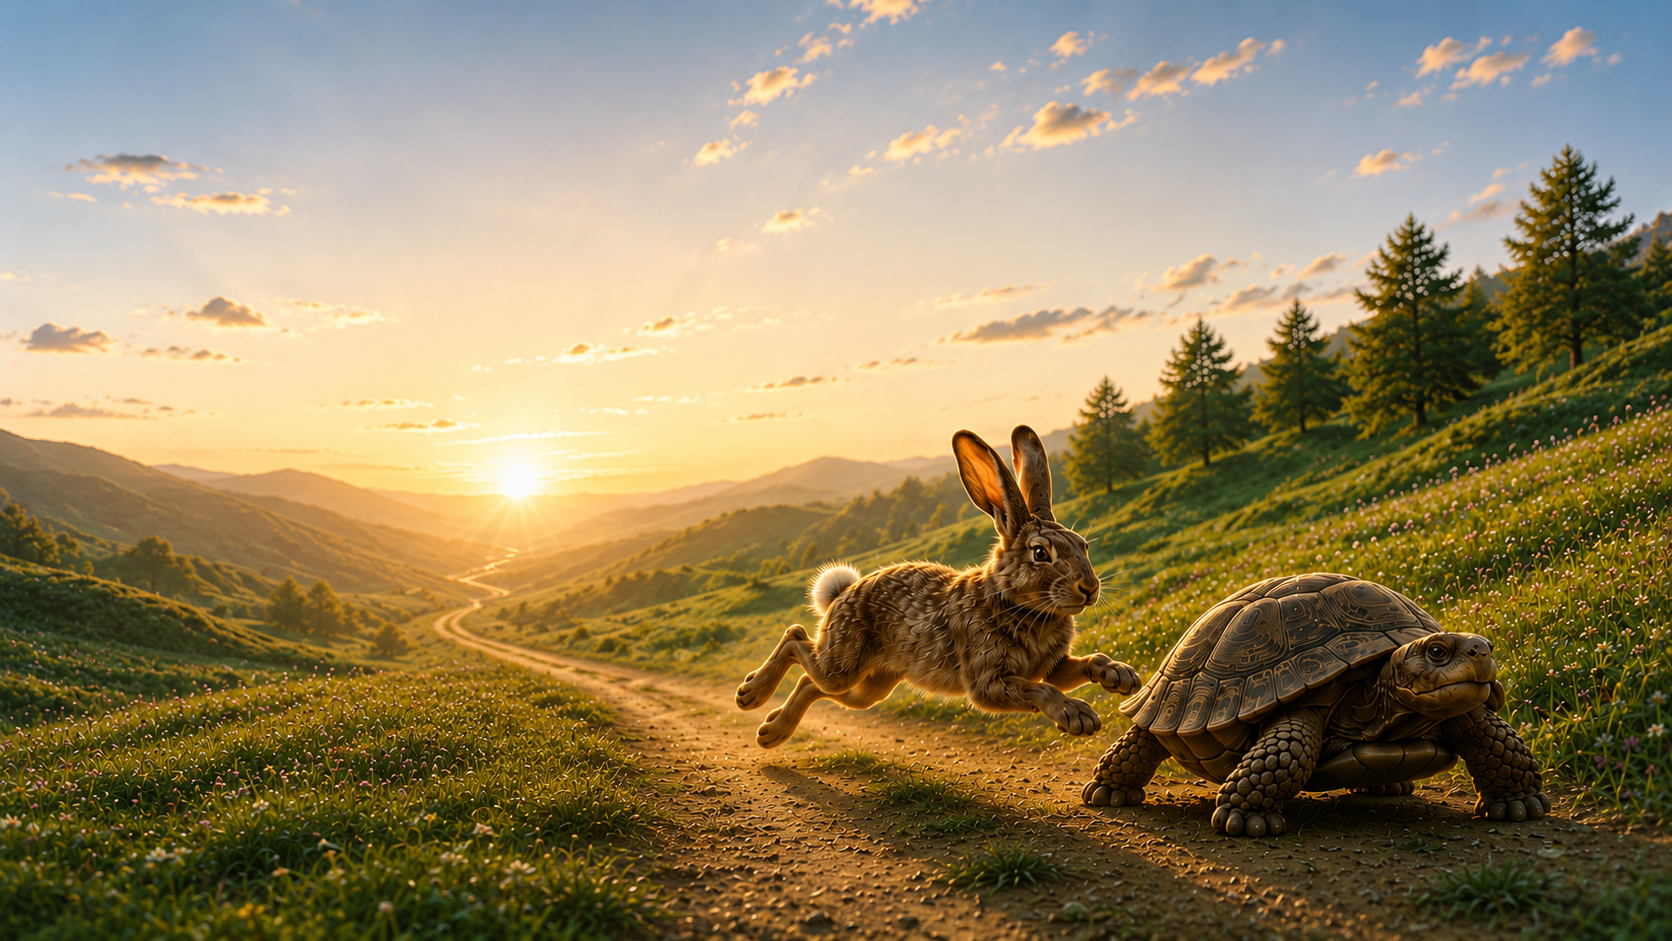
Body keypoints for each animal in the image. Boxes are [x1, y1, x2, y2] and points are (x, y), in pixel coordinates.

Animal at [735, 424, 1141, 748]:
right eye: (1041, 553)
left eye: (1083, 545)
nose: (1089, 588)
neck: (1015, 601)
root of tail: (841, 594)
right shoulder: (987, 680)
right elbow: (1040, 688)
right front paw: (1077, 715)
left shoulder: (1051, 665)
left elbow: (1083, 663)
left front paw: (1121, 677)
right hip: (843, 662)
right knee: (797, 639)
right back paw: (750, 694)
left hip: (871, 686)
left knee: (811, 683)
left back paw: (771, 732)